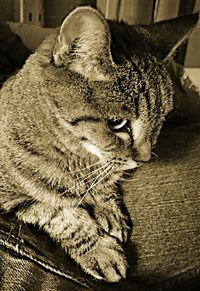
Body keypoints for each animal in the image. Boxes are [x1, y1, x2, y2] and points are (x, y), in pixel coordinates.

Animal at [0, 5, 198, 282]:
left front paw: (109, 208)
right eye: (117, 124)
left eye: (162, 119)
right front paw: (101, 250)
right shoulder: (15, 198)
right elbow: (61, 214)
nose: (145, 159)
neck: (82, 158)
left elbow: (107, 183)